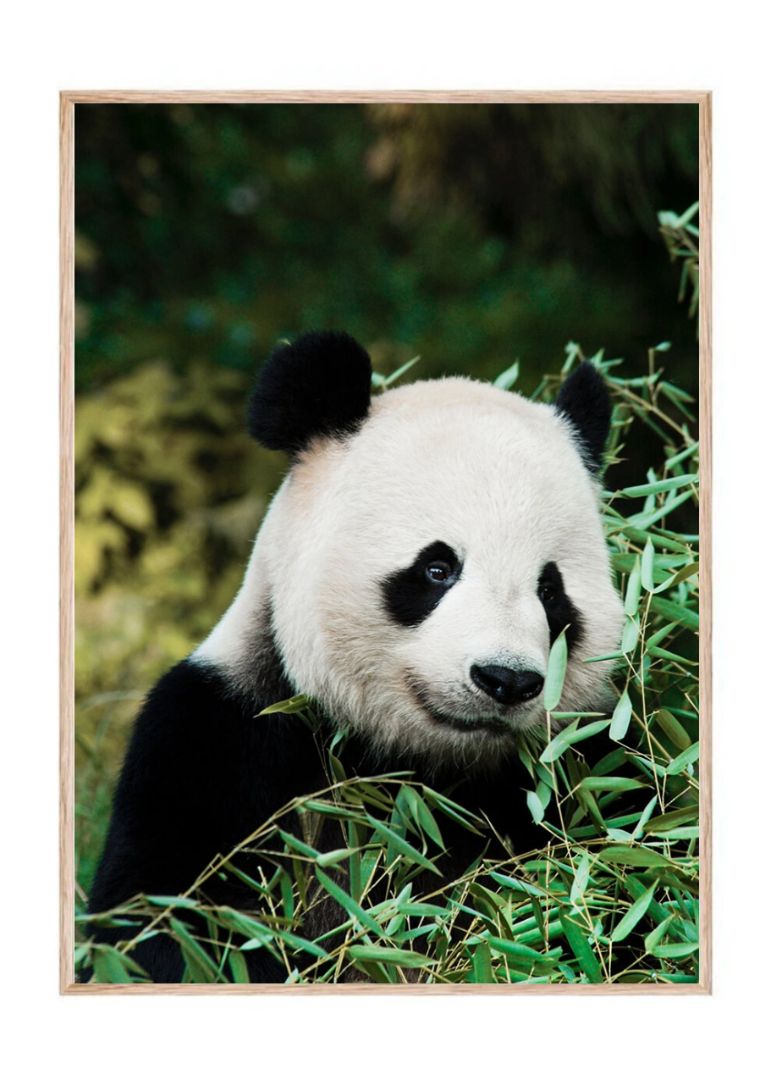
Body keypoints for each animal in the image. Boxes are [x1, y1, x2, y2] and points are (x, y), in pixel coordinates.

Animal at [87, 331, 624, 983]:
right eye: (437, 569)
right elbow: (167, 927)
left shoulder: (580, 770)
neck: (416, 767)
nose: (505, 679)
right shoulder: (218, 741)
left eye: (550, 591)